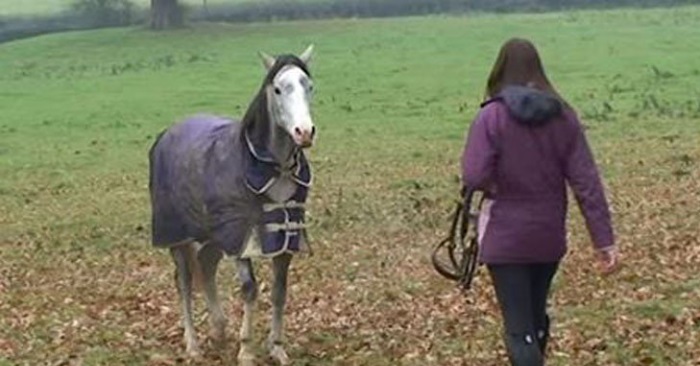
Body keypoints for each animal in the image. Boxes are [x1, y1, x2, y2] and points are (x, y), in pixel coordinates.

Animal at [149, 45, 316, 366]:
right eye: (278, 89)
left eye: (309, 86)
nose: (304, 132)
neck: (271, 169)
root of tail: (167, 133)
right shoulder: (240, 237)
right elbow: (250, 290)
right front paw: (246, 351)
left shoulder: (285, 238)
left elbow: (280, 291)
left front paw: (277, 348)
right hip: (179, 237)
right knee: (184, 282)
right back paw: (193, 345)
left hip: (212, 236)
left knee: (206, 265)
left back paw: (218, 328)